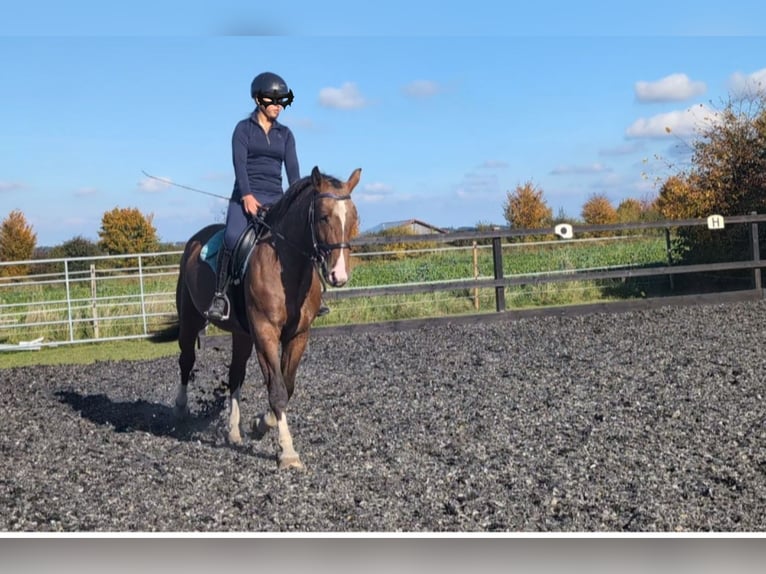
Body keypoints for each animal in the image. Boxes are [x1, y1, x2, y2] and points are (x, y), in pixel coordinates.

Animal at [168, 166, 360, 470]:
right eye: (323, 216)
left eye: (353, 218)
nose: (338, 275)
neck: (288, 266)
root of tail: (194, 241)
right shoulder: (265, 332)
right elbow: (277, 389)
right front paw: (288, 452)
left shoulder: (298, 335)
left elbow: (287, 385)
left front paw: (260, 423)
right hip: (190, 320)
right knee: (186, 361)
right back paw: (180, 408)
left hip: (241, 333)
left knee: (235, 374)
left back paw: (234, 432)